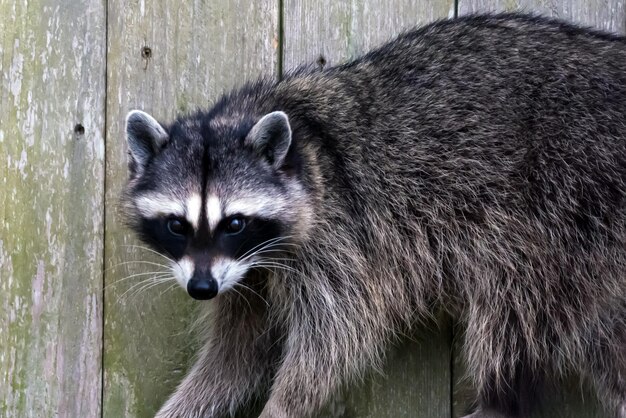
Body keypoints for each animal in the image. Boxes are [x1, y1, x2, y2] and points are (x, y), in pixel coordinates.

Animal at [120, 13, 624, 418]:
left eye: (235, 223)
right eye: (177, 224)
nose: (201, 289)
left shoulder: (340, 236)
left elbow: (336, 338)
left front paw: (283, 405)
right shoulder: (244, 273)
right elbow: (236, 355)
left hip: (566, 208)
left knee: (513, 305)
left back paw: (497, 402)